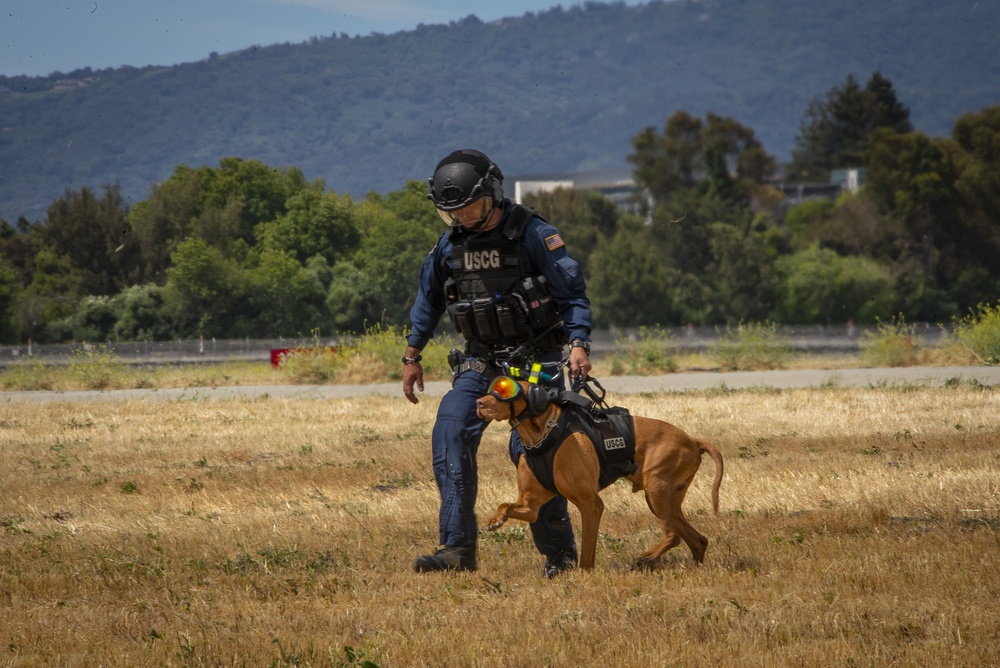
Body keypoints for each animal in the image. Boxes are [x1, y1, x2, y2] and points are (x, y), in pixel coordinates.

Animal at [472, 380, 724, 568]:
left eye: (505, 390)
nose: (479, 402)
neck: (542, 436)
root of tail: (692, 440)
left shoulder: (591, 504)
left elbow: (586, 552)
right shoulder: (530, 506)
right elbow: (506, 505)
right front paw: (496, 520)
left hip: (656, 492)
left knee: (673, 534)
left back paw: (648, 557)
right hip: (667, 500)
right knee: (698, 539)